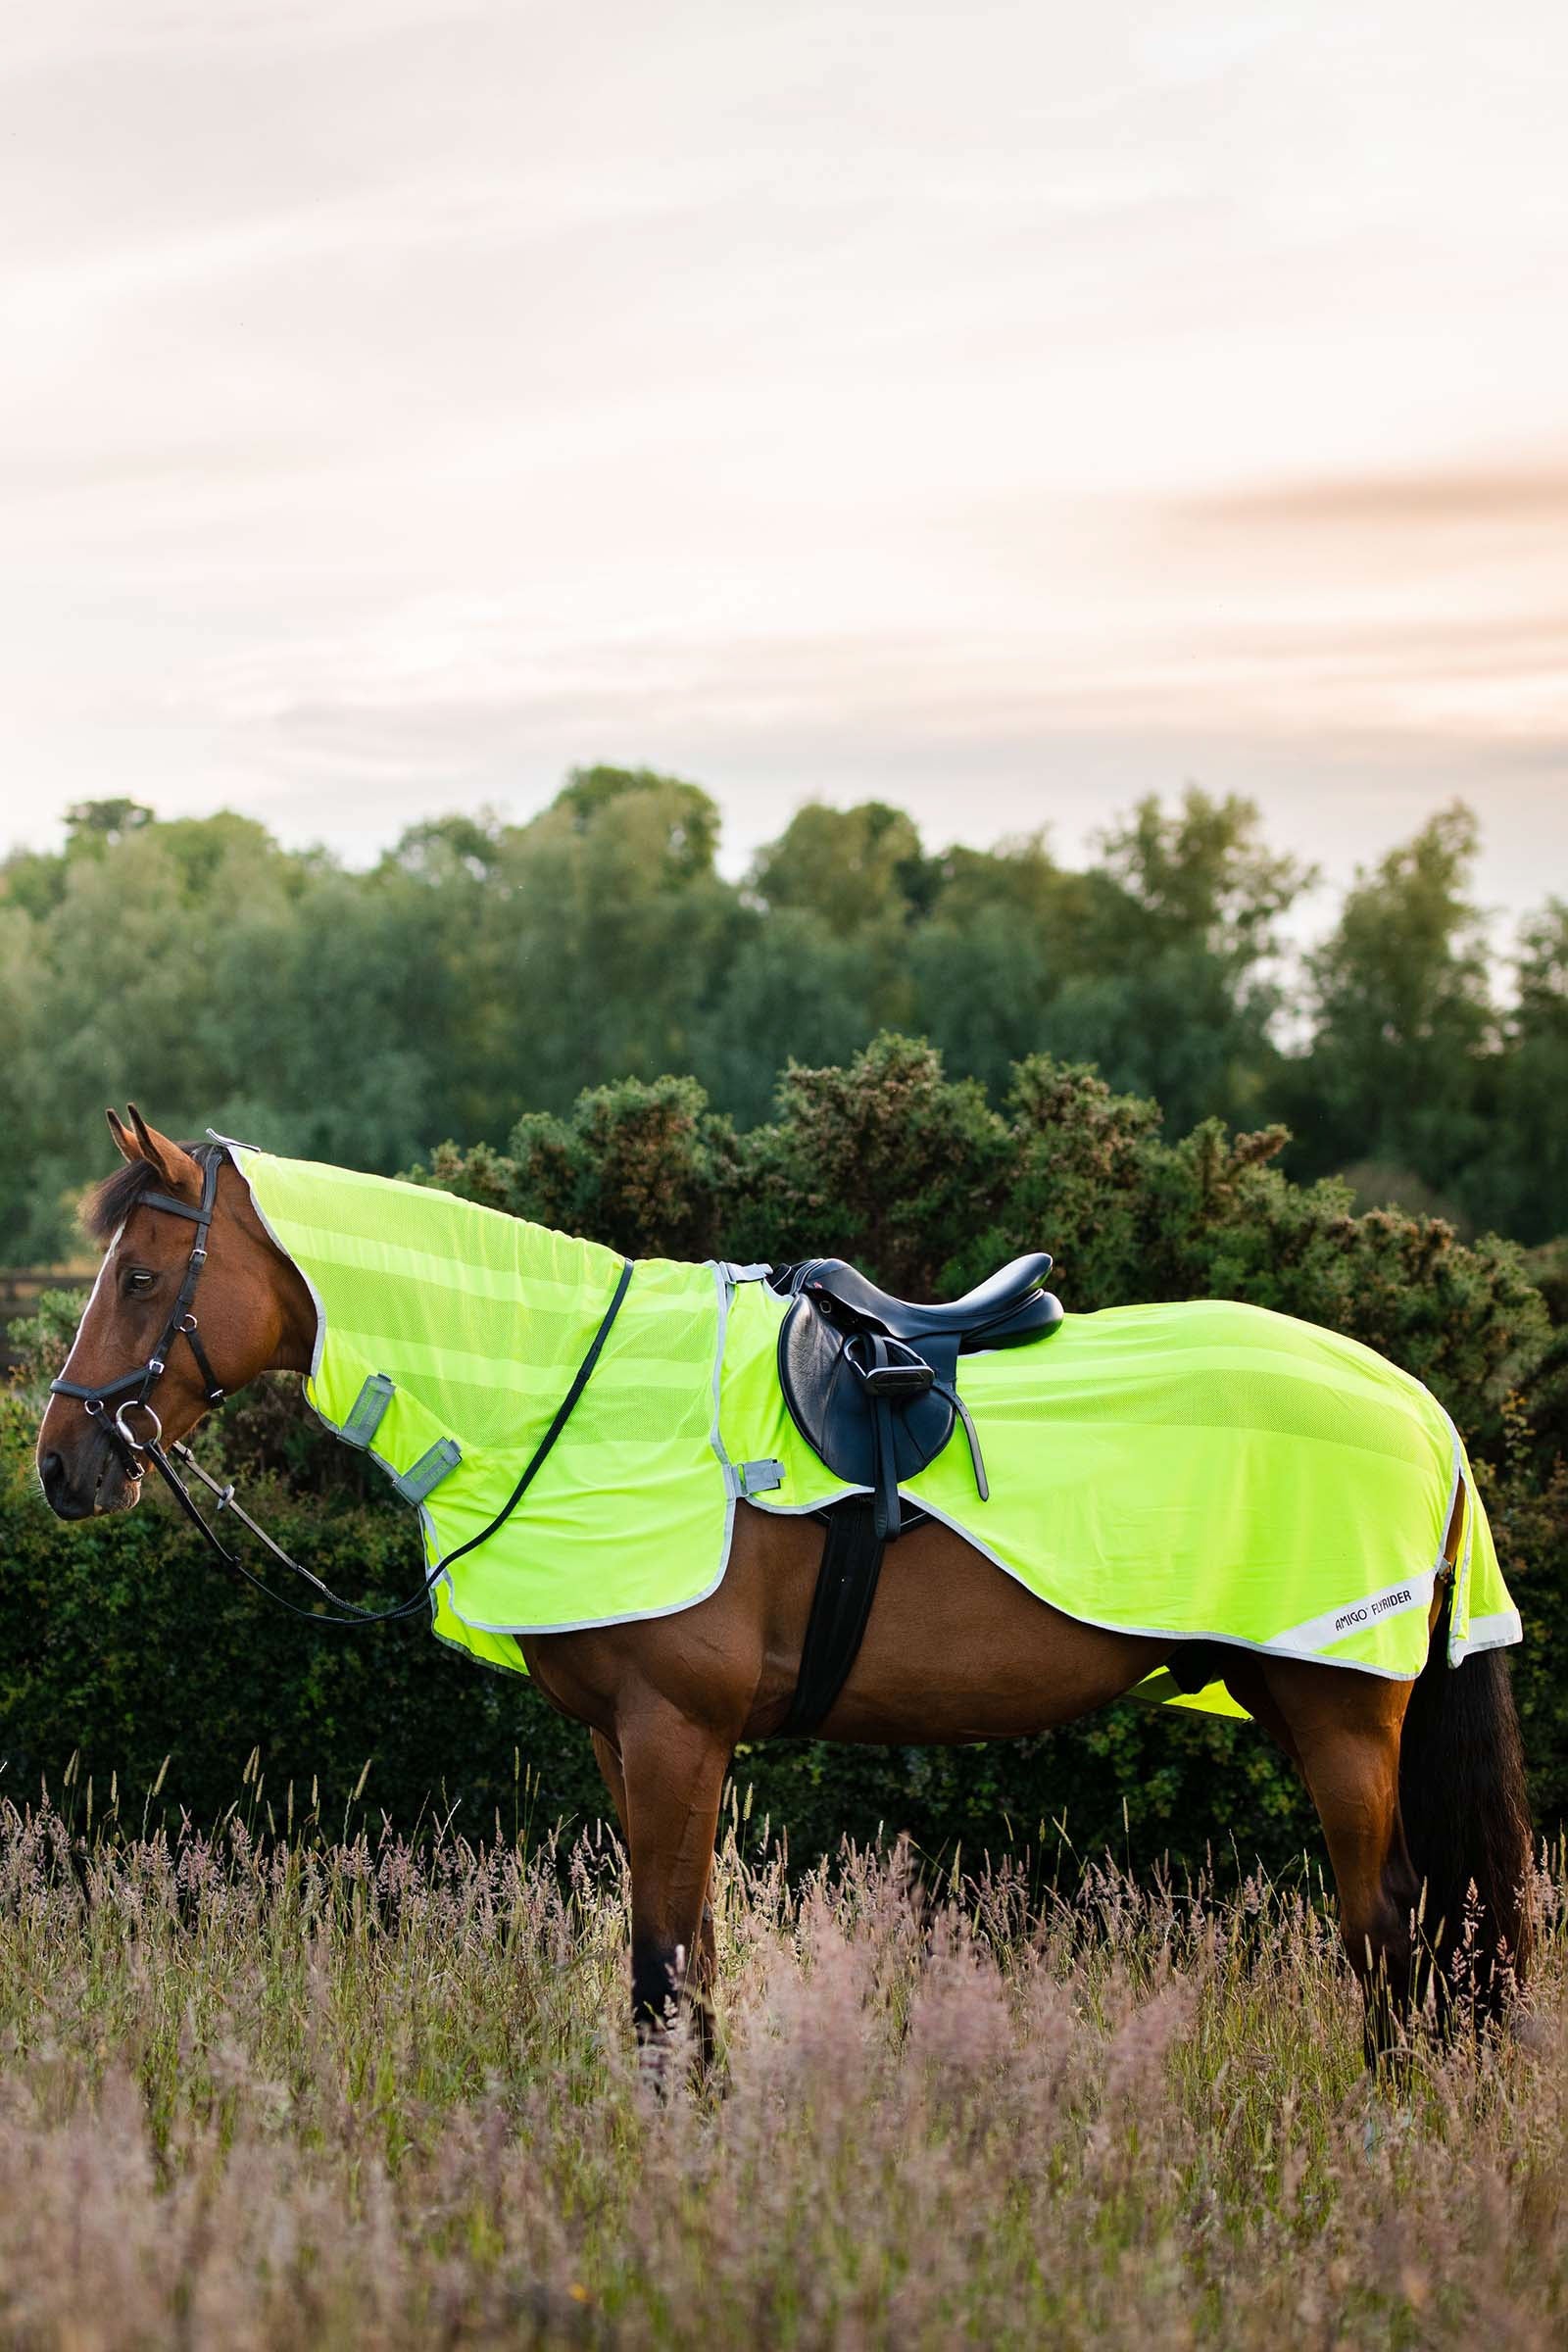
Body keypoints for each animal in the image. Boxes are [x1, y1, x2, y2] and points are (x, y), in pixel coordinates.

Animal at [36, 1109, 1534, 2066]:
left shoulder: (675, 1734)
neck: (571, 1394)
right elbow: (684, 1971)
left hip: (1337, 1713)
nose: (61, 1466)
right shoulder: (628, 1742)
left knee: (1388, 1928)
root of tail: (1419, 1407)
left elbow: (660, 1977)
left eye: (145, 1275)